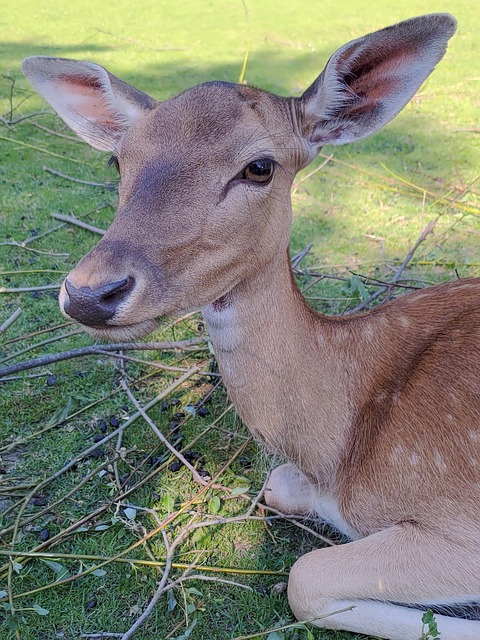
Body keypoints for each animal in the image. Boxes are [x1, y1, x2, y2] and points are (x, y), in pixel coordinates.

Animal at [21, 13, 480, 640]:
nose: (90, 293)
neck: (338, 452)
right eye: (118, 161)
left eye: (259, 166)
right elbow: (276, 487)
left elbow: (304, 578)